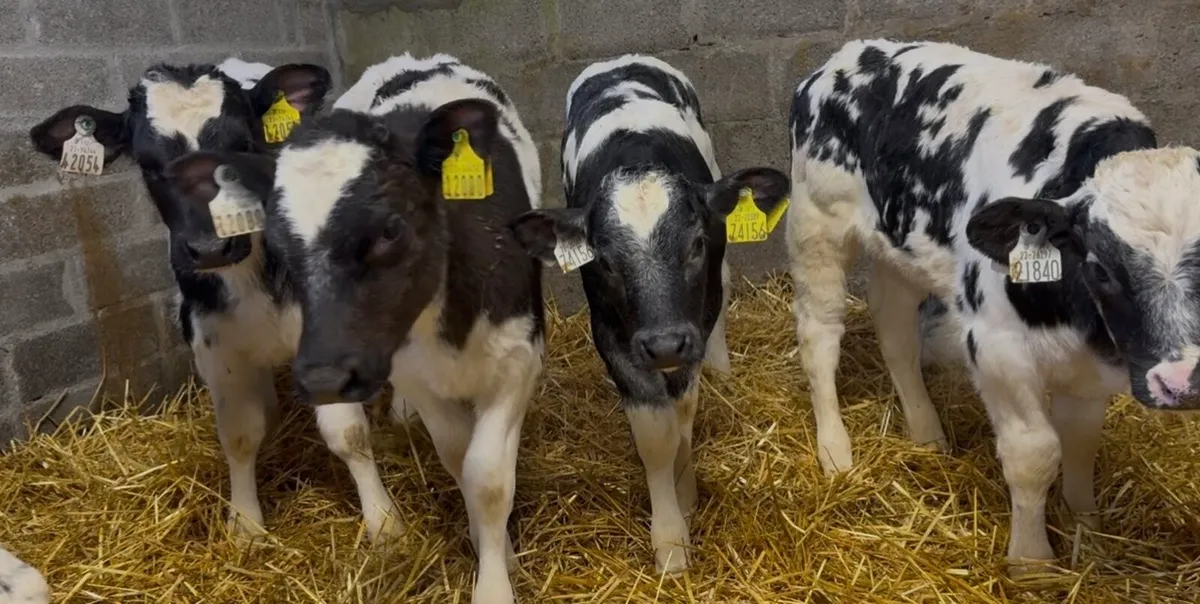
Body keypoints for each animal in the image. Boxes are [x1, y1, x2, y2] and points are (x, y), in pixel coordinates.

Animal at [26, 59, 415, 545]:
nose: (211, 247)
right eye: (149, 165)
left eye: (243, 146)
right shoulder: (213, 344)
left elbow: (348, 433)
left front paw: (384, 523)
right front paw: (245, 525)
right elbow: (240, 435)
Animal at [232, 53, 543, 604]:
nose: (323, 380)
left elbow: (487, 477)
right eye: (277, 244)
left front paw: (496, 576)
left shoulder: (518, 361)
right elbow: (458, 458)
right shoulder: (414, 373)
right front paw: (490, 545)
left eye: (390, 229)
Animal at [509, 54, 790, 575]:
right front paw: (671, 537)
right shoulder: (614, 337)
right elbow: (656, 433)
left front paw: (687, 491)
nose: (663, 344)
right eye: (604, 261)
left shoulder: (692, 324)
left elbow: (683, 411)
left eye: (696, 244)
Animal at [783, 38, 1200, 575]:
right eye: (1101, 266)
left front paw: (1086, 527)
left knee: (894, 328)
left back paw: (927, 433)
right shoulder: (998, 347)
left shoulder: (1088, 367)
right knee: (820, 334)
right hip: (817, 225)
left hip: (903, 248)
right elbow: (1034, 453)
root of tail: (851, 53)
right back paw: (835, 451)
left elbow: (1081, 441)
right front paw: (1032, 562)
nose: (1181, 382)